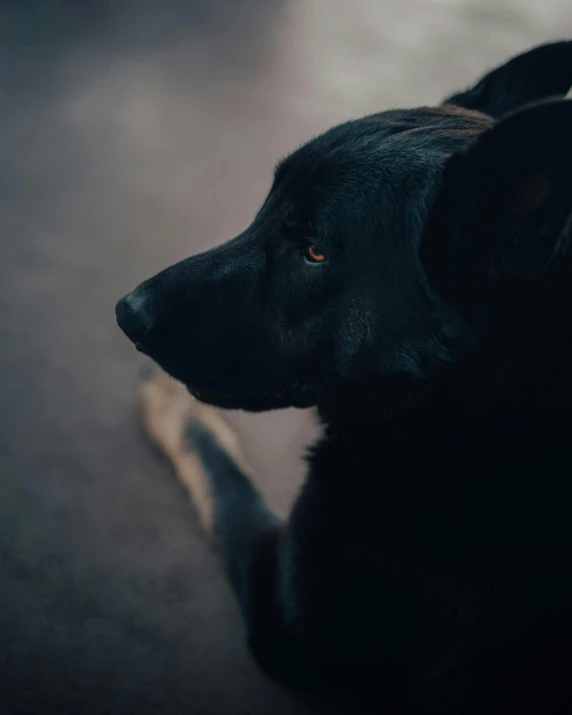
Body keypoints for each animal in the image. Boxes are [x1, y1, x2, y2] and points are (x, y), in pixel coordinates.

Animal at [116, 42, 572, 712]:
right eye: (265, 208)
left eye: (314, 252)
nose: (127, 312)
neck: (478, 404)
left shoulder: (281, 610)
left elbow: (224, 479)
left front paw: (174, 408)